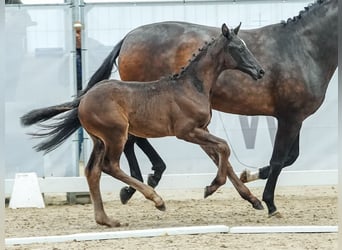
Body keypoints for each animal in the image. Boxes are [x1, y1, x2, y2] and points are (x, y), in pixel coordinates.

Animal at [22, 23, 266, 227]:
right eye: (239, 48)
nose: (260, 71)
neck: (191, 86)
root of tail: (84, 98)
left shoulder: (201, 129)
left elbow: (223, 157)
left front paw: (252, 200)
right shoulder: (186, 131)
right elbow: (224, 147)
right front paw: (211, 187)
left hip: (99, 140)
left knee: (93, 171)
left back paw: (106, 220)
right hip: (116, 135)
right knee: (110, 166)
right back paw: (156, 200)